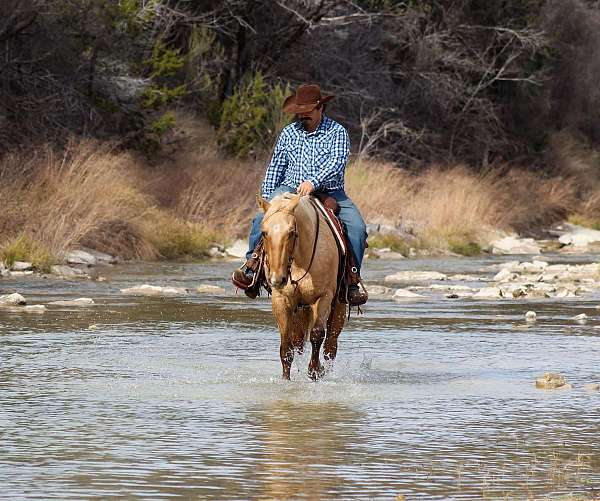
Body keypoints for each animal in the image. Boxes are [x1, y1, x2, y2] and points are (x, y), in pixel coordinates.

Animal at [258, 191, 346, 378]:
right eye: (264, 233)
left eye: (291, 232)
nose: (277, 279)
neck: (299, 262)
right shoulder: (281, 300)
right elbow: (286, 346)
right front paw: (286, 379)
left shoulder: (324, 297)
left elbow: (317, 334)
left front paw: (315, 371)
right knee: (298, 342)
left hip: (339, 306)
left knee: (330, 345)